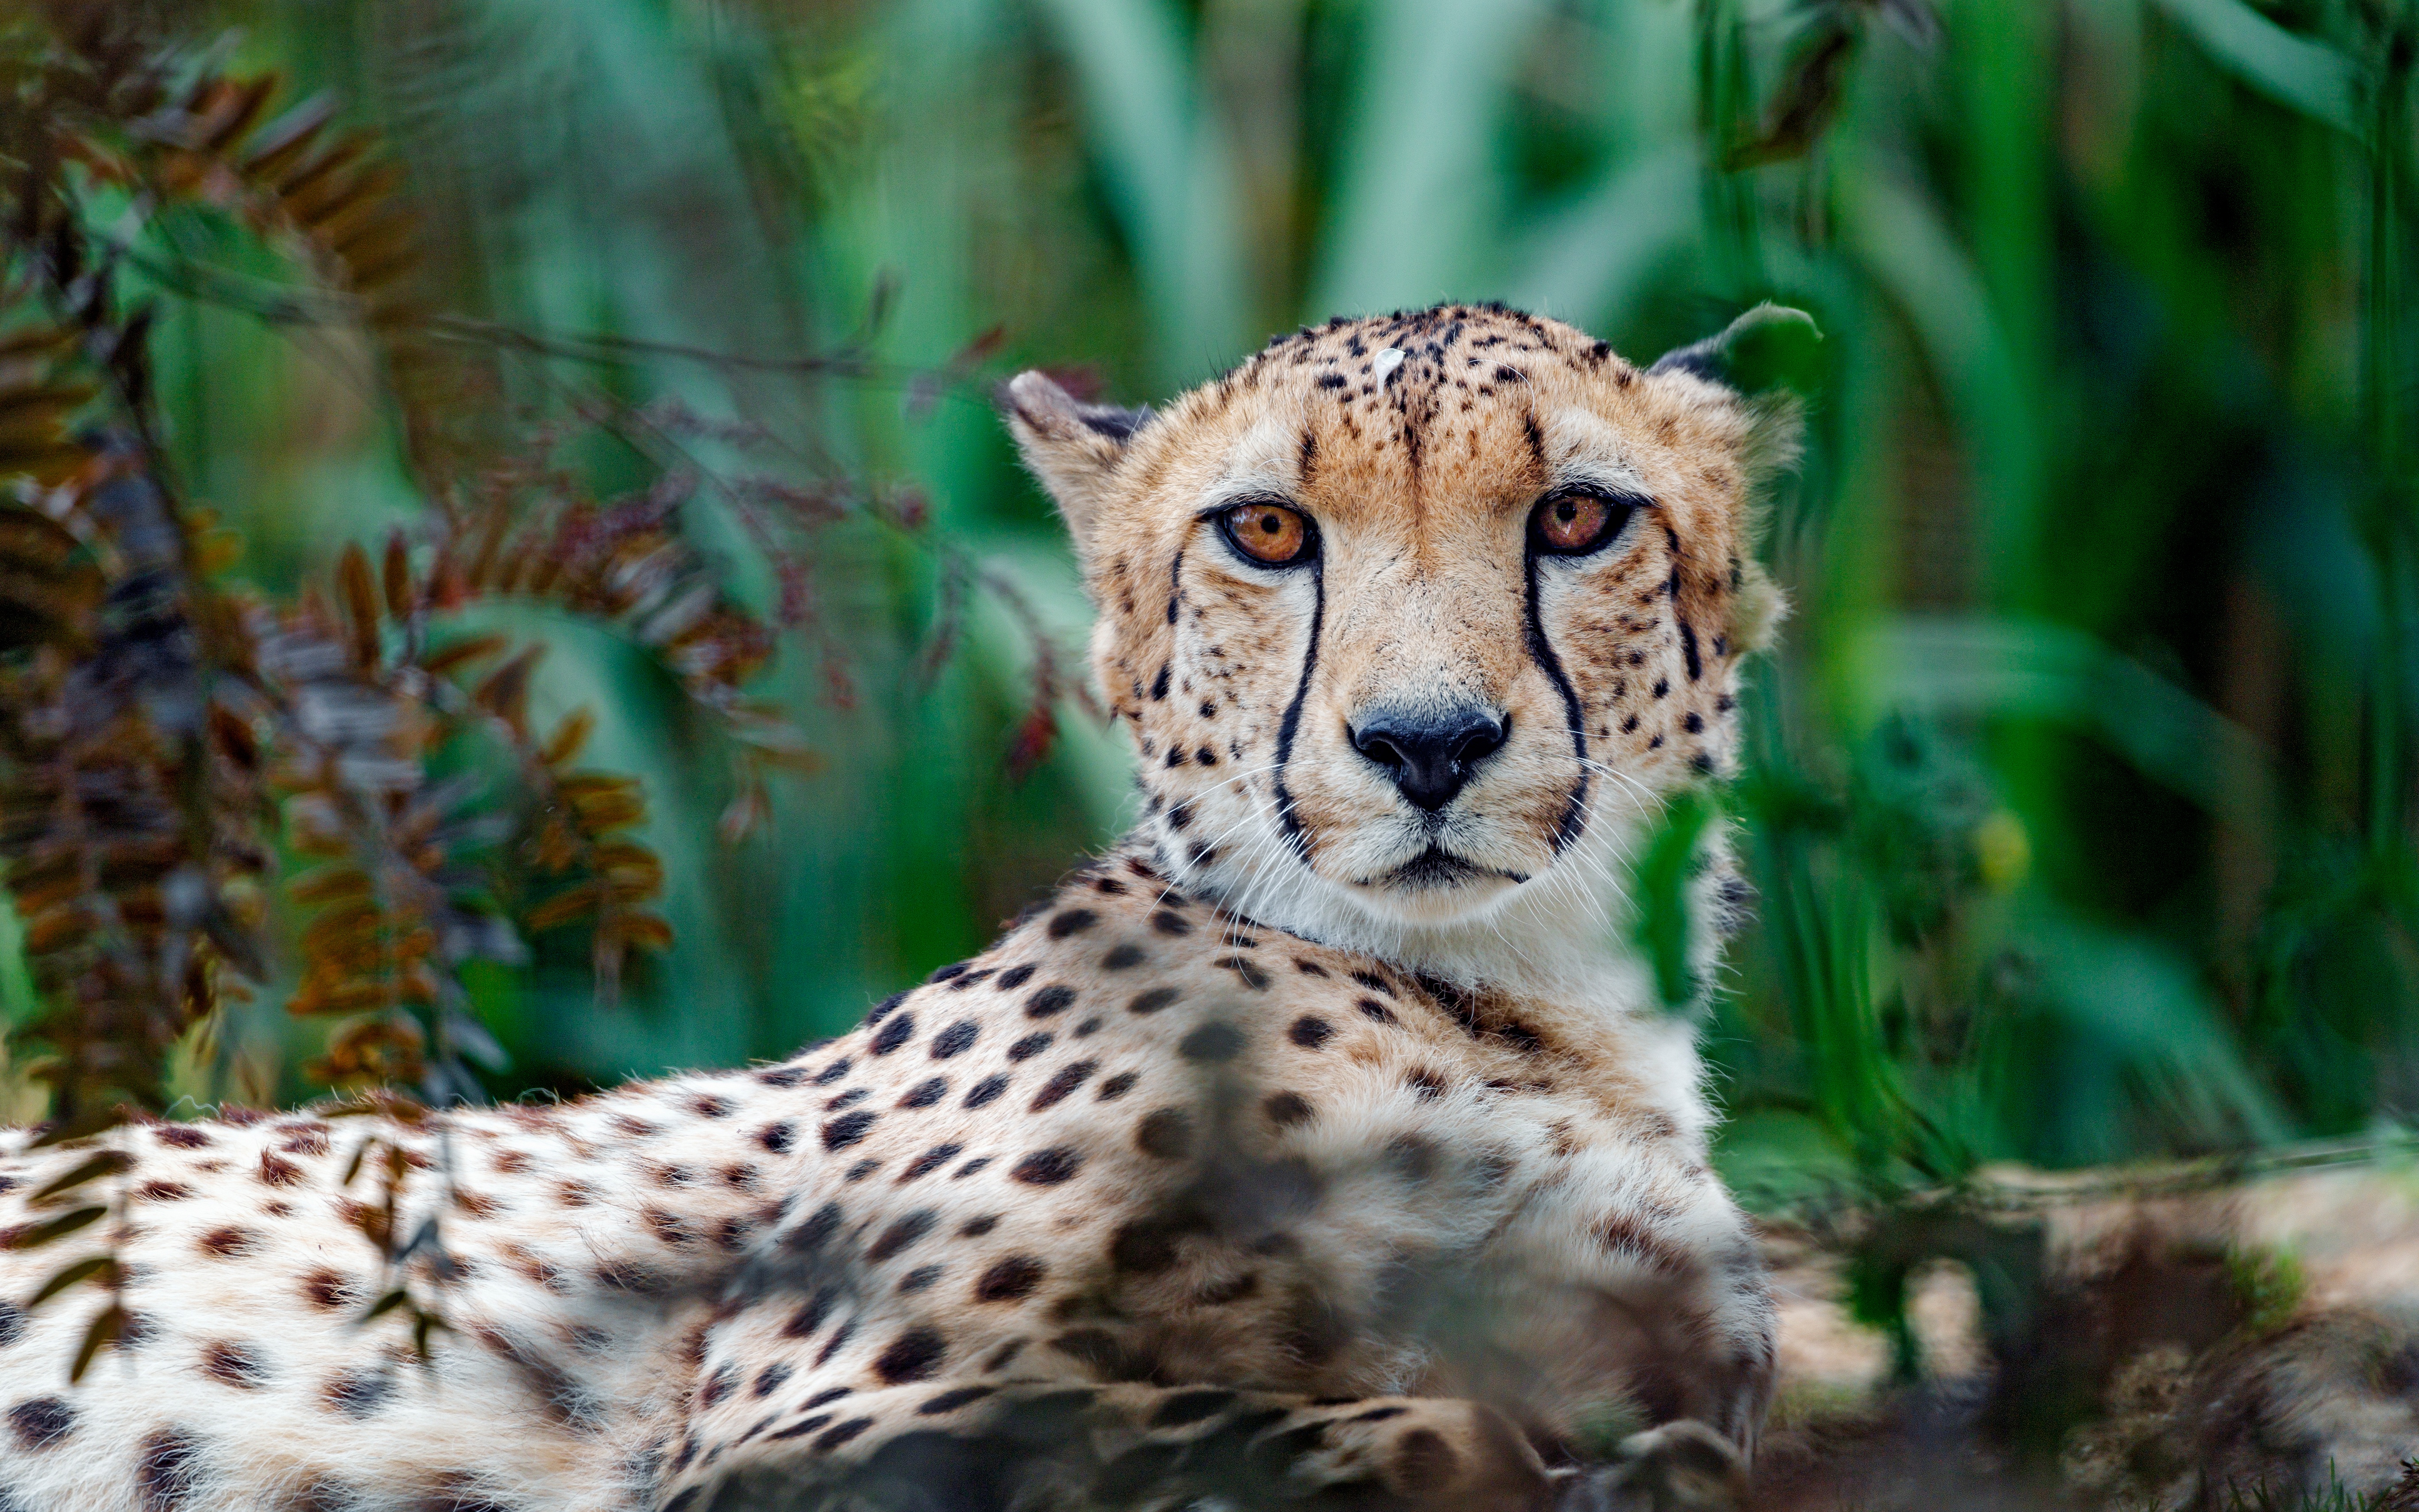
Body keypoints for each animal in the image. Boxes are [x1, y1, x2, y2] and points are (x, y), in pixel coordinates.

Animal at [0, 301, 1799, 1500]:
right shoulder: (782, 1430)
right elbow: (1393, 1423)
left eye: (1576, 514)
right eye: (1268, 530)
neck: (1534, 995)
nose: (1427, 742)